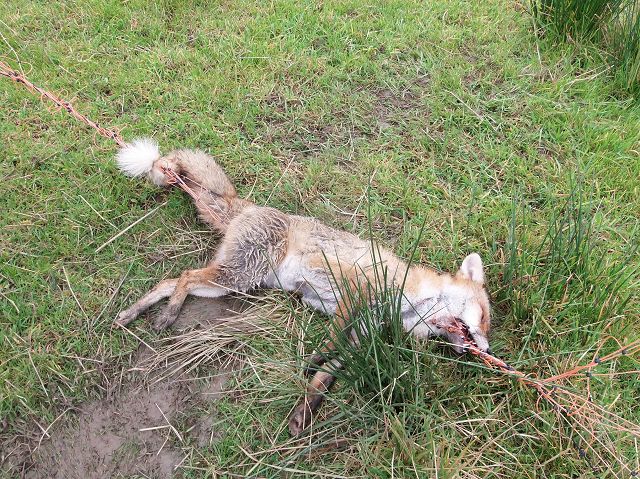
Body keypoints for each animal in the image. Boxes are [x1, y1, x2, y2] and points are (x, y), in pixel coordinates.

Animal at [114, 139, 492, 436]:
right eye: (485, 317)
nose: (486, 350)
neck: (406, 298)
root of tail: (249, 207)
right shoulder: (354, 286)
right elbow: (332, 338)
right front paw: (314, 358)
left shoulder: (362, 334)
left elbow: (324, 377)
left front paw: (304, 411)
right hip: (238, 275)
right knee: (185, 275)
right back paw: (169, 314)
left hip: (231, 283)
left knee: (169, 281)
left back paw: (135, 313)